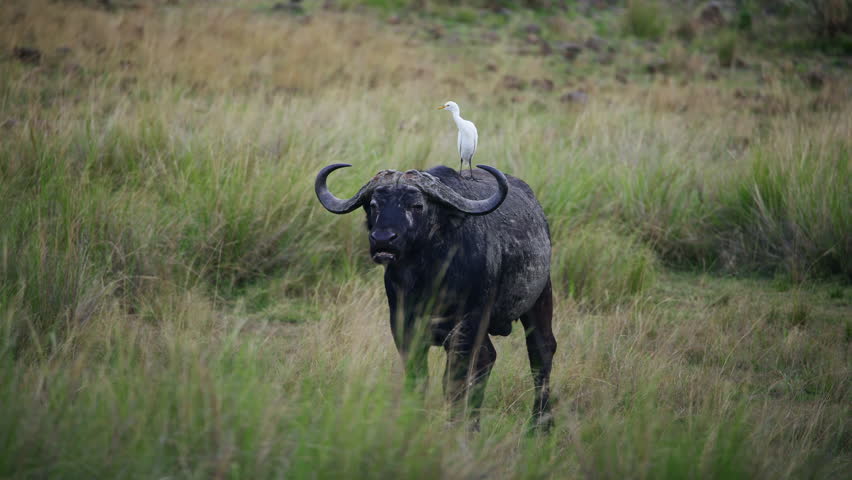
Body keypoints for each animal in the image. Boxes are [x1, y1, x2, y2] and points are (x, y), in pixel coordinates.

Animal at [315, 163, 556, 429]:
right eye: (375, 205)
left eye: (416, 205)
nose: (383, 240)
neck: (426, 279)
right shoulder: (404, 328)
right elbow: (418, 378)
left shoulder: (466, 327)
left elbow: (453, 381)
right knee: (488, 358)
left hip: (540, 299)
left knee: (541, 352)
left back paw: (539, 425)